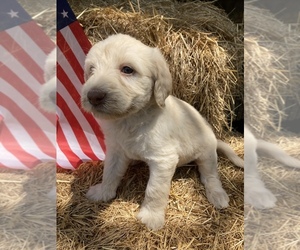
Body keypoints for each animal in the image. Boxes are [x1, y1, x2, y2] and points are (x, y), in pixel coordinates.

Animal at [80, 33, 244, 230]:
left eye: (127, 69)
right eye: (91, 70)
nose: (93, 96)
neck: (130, 119)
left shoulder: (163, 160)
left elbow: (155, 190)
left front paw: (151, 217)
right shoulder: (116, 151)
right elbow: (110, 173)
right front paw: (103, 192)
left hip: (207, 154)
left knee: (210, 176)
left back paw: (217, 195)